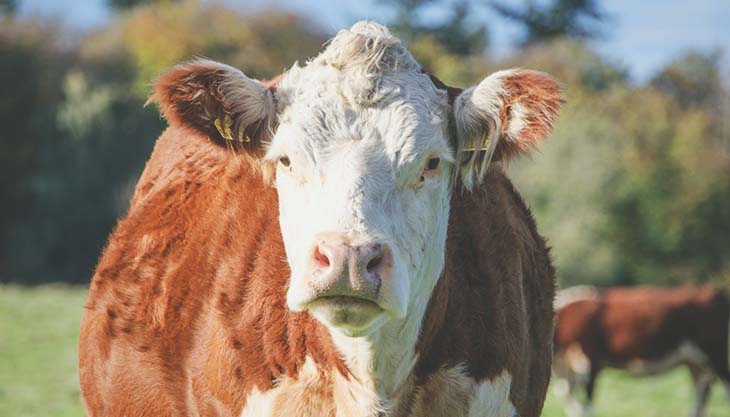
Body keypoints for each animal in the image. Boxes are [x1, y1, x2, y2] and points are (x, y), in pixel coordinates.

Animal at [552, 284, 728, 416]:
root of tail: (712, 292)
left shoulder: (591, 361)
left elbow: (587, 407)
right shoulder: (566, 371)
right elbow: (568, 399)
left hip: (716, 355)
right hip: (694, 362)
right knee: (701, 394)